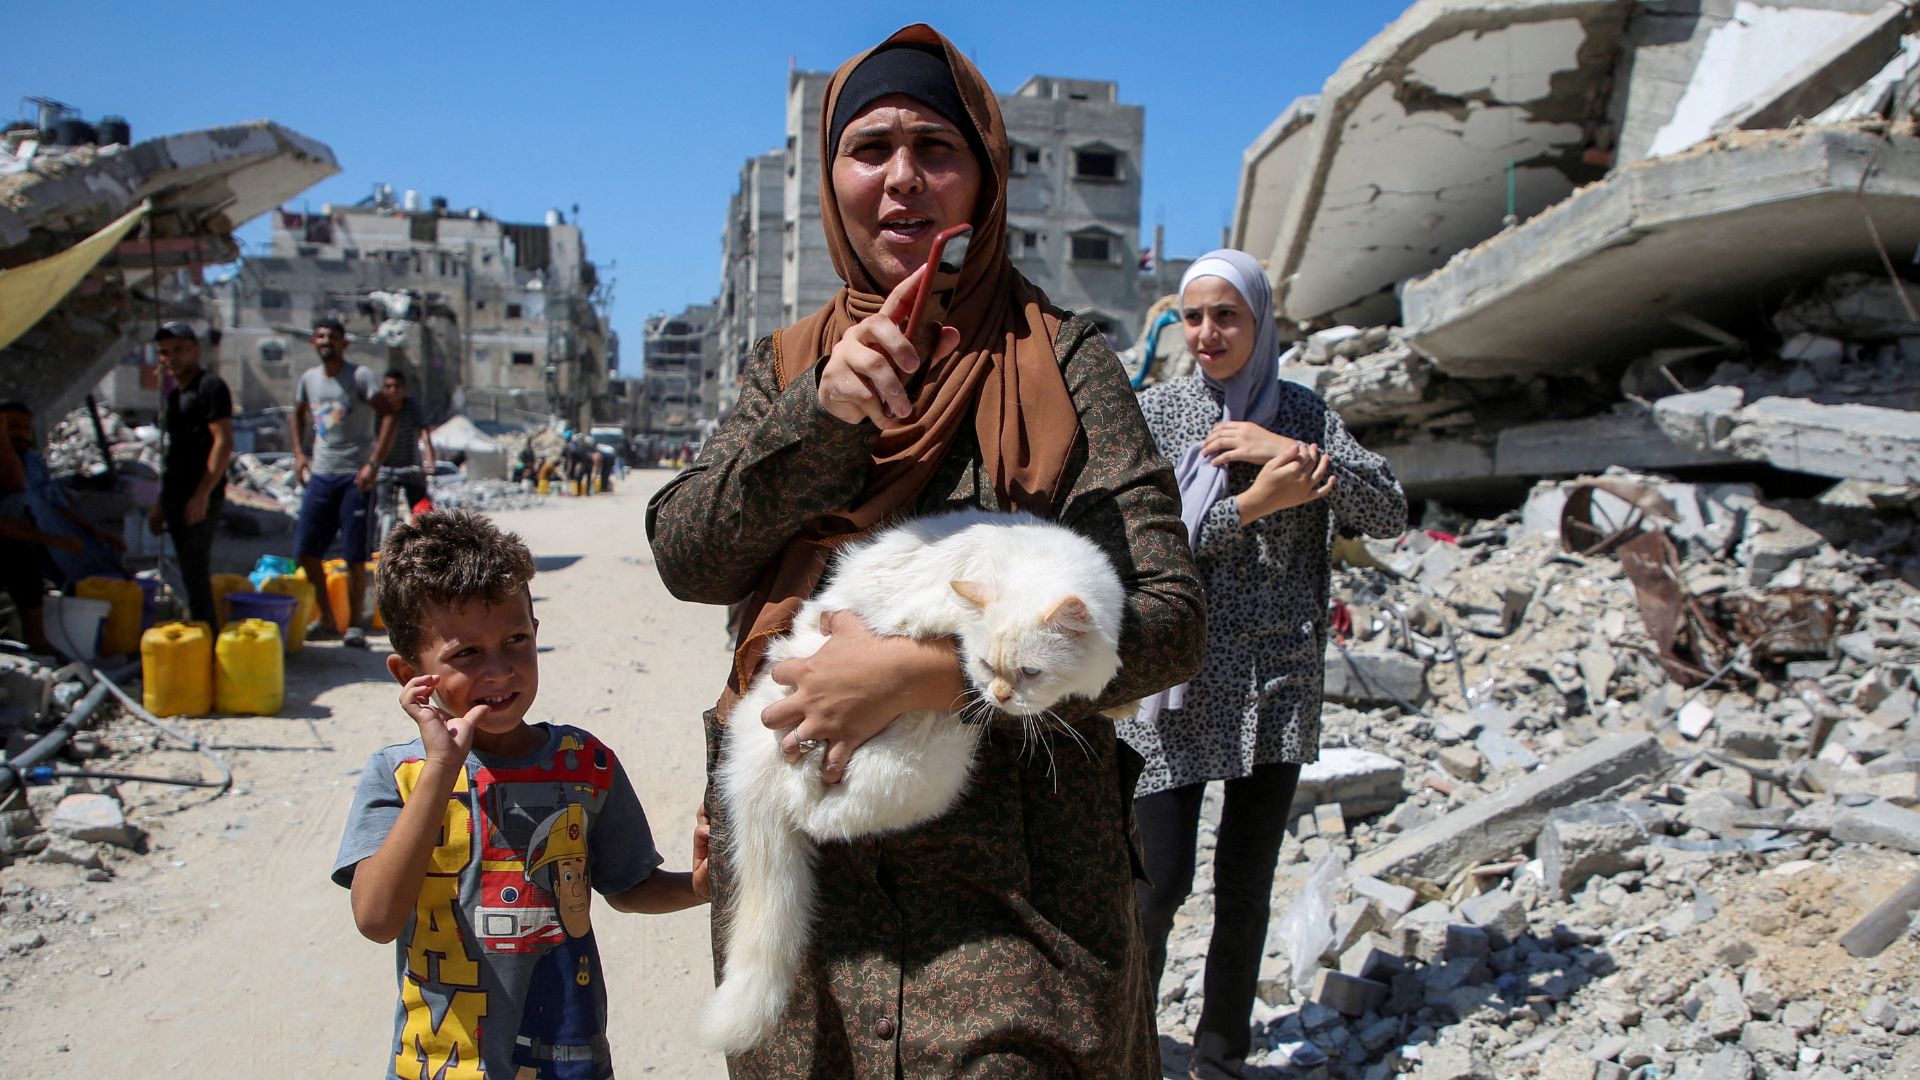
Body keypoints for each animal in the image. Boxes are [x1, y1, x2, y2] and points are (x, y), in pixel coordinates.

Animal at [702, 507, 1121, 1053]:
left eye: (1030, 672)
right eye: (985, 664)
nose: (1000, 697)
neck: (1023, 559)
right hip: (929, 764)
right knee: (818, 816)